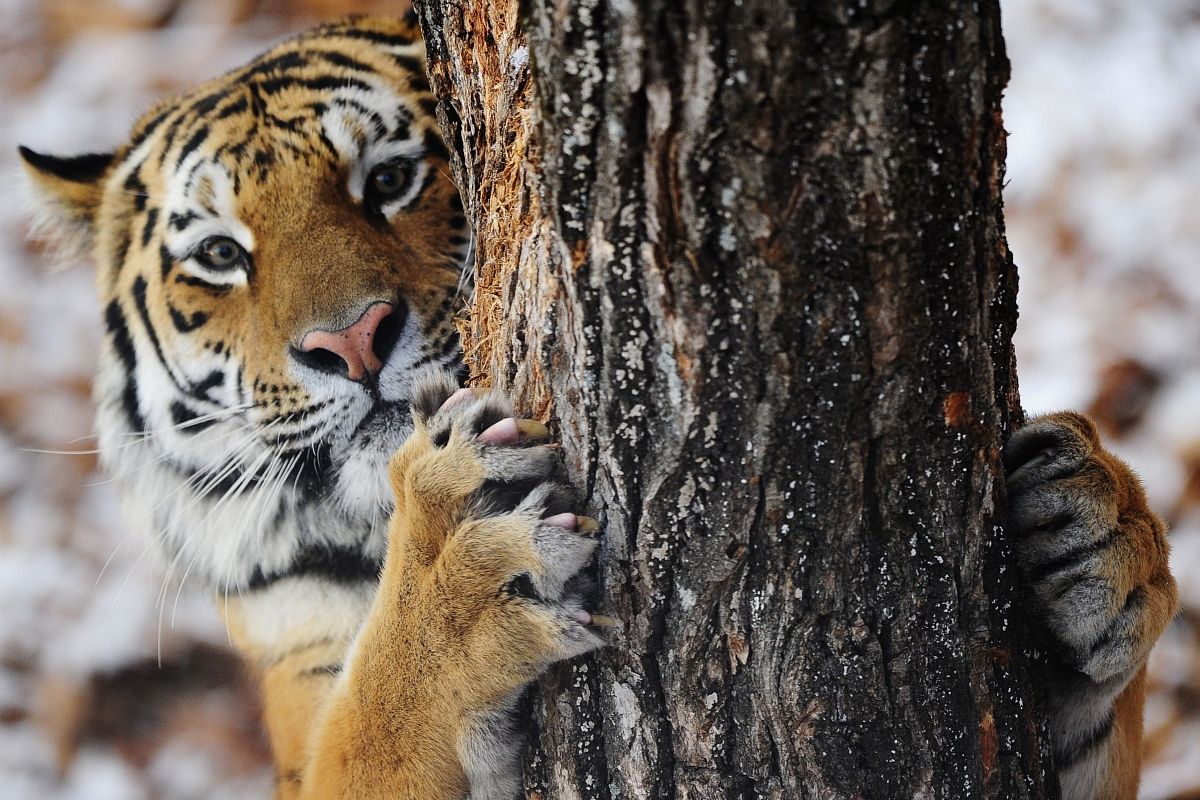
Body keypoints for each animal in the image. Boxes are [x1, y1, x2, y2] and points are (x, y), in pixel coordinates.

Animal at [18, 10, 1176, 800]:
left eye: (389, 176)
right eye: (220, 255)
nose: (352, 341)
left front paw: (1100, 531)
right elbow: (374, 717)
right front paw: (455, 576)